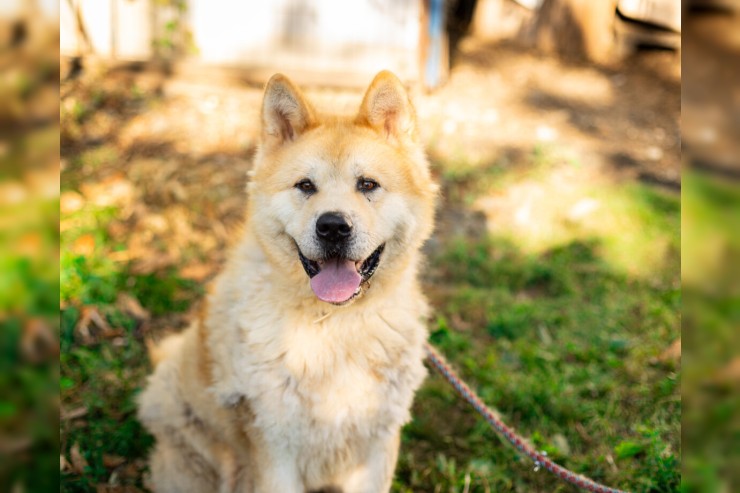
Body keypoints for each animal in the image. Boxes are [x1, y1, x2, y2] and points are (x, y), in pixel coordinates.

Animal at [138, 70, 436, 492]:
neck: (335, 326)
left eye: (368, 185)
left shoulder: (377, 446)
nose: (332, 227)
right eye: (305, 186)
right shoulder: (276, 450)